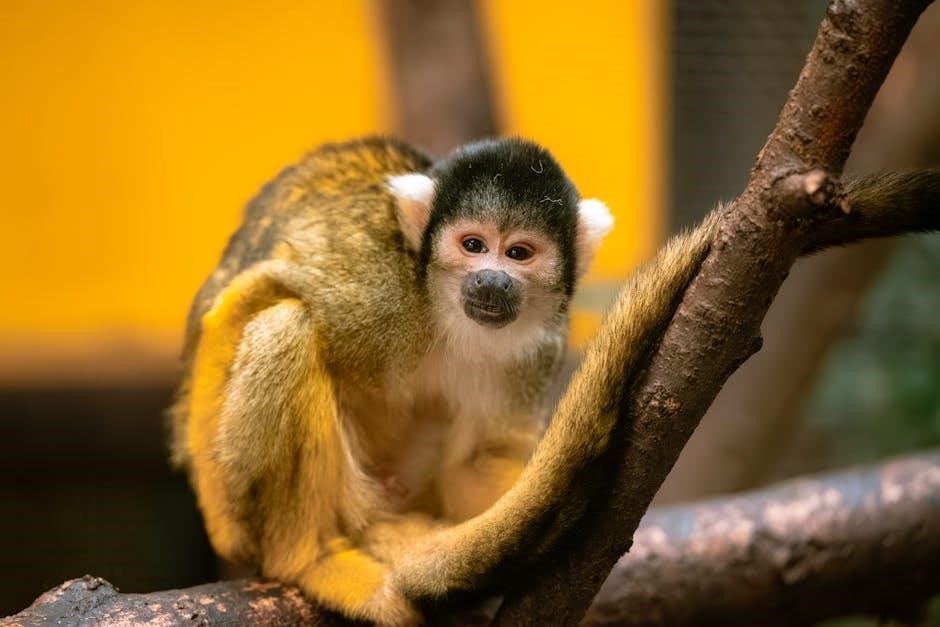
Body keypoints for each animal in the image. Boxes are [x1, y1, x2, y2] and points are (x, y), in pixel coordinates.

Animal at [170, 135, 940, 625]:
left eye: (520, 253)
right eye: (471, 245)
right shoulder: (372, 285)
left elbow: (483, 459)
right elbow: (245, 300)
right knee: (281, 323)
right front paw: (228, 523)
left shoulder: (535, 341)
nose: (491, 280)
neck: (441, 308)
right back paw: (308, 554)